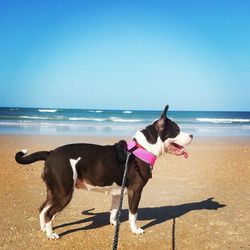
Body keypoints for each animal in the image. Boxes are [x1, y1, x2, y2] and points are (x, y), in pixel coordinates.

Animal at [15, 104, 191, 239]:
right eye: (177, 130)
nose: (191, 135)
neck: (143, 148)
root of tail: (50, 152)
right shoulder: (135, 191)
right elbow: (133, 214)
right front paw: (135, 230)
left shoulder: (117, 191)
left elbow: (114, 210)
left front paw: (114, 223)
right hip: (63, 193)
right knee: (49, 213)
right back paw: (50, 234)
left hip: (54, 191)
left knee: (42, 209)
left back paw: (44, 229)